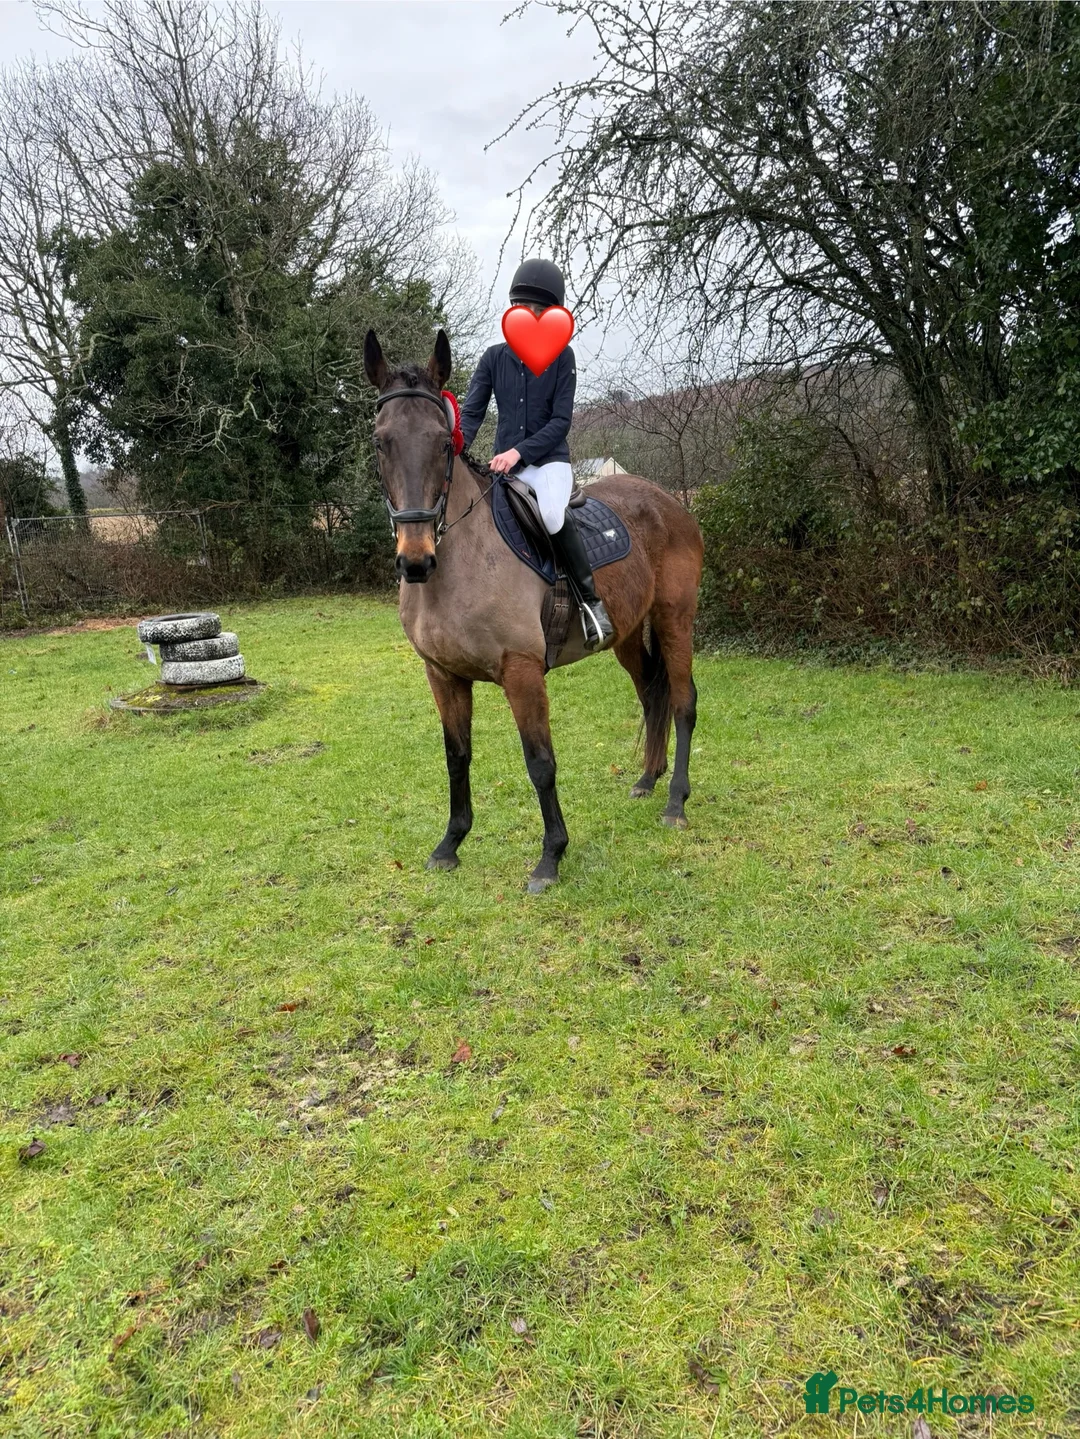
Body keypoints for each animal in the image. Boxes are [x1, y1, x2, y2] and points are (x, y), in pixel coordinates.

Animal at [364, 327, 704, 894]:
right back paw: (646, 780)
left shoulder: (521, 672)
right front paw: (450, 844)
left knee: (682, 701)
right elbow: (457, 757)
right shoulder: (443, 675)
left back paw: (676, 802)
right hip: (628, 634)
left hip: (675, 619)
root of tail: (666, 500)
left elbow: (540, 762)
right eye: (380, 441)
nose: (415, 561)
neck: (458, 562)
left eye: (443, 442)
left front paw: (551, 858)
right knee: (650, 692)